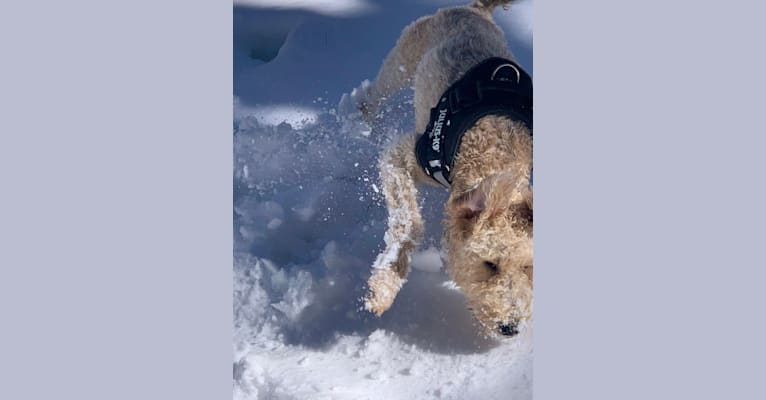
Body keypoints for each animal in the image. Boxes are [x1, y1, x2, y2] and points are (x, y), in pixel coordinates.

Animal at [358, 0, 536, 338]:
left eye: (528, 268)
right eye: (489, 264)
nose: (510, 328)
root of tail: (474, 9)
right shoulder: (402, 157)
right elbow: (409, 222)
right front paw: (386, 285)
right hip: (406, 53)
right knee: (378, 89)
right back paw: (358, 115)